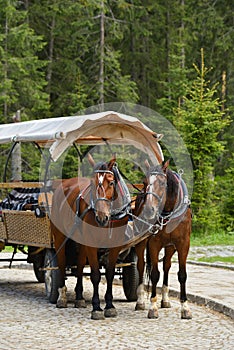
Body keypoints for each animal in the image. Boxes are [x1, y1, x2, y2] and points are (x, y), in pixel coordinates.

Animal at [50, 154, 131, 318]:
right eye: (93, 185)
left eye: (111, 182)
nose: (101, 217)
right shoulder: (91, 243)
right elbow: (95, 275)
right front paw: (96, 307)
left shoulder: (115, 245)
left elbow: (110, 273)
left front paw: (109, 305)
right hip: (60, 236)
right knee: (61, 262)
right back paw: (62, 297)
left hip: (81, 240)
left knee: (80, 265)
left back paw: (79, 298)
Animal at [133, 161, 192, 320]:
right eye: (144, 182)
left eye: (161, 182)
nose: (148, 210)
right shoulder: (153, 243)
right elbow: (154, 274)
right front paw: (152, 306)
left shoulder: (183, 244)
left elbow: (182, 275)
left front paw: (185, 307)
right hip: (140, 242)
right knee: (141, 266)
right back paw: (140, 300)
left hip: (170, 246)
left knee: (166, 265)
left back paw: (165, 299)